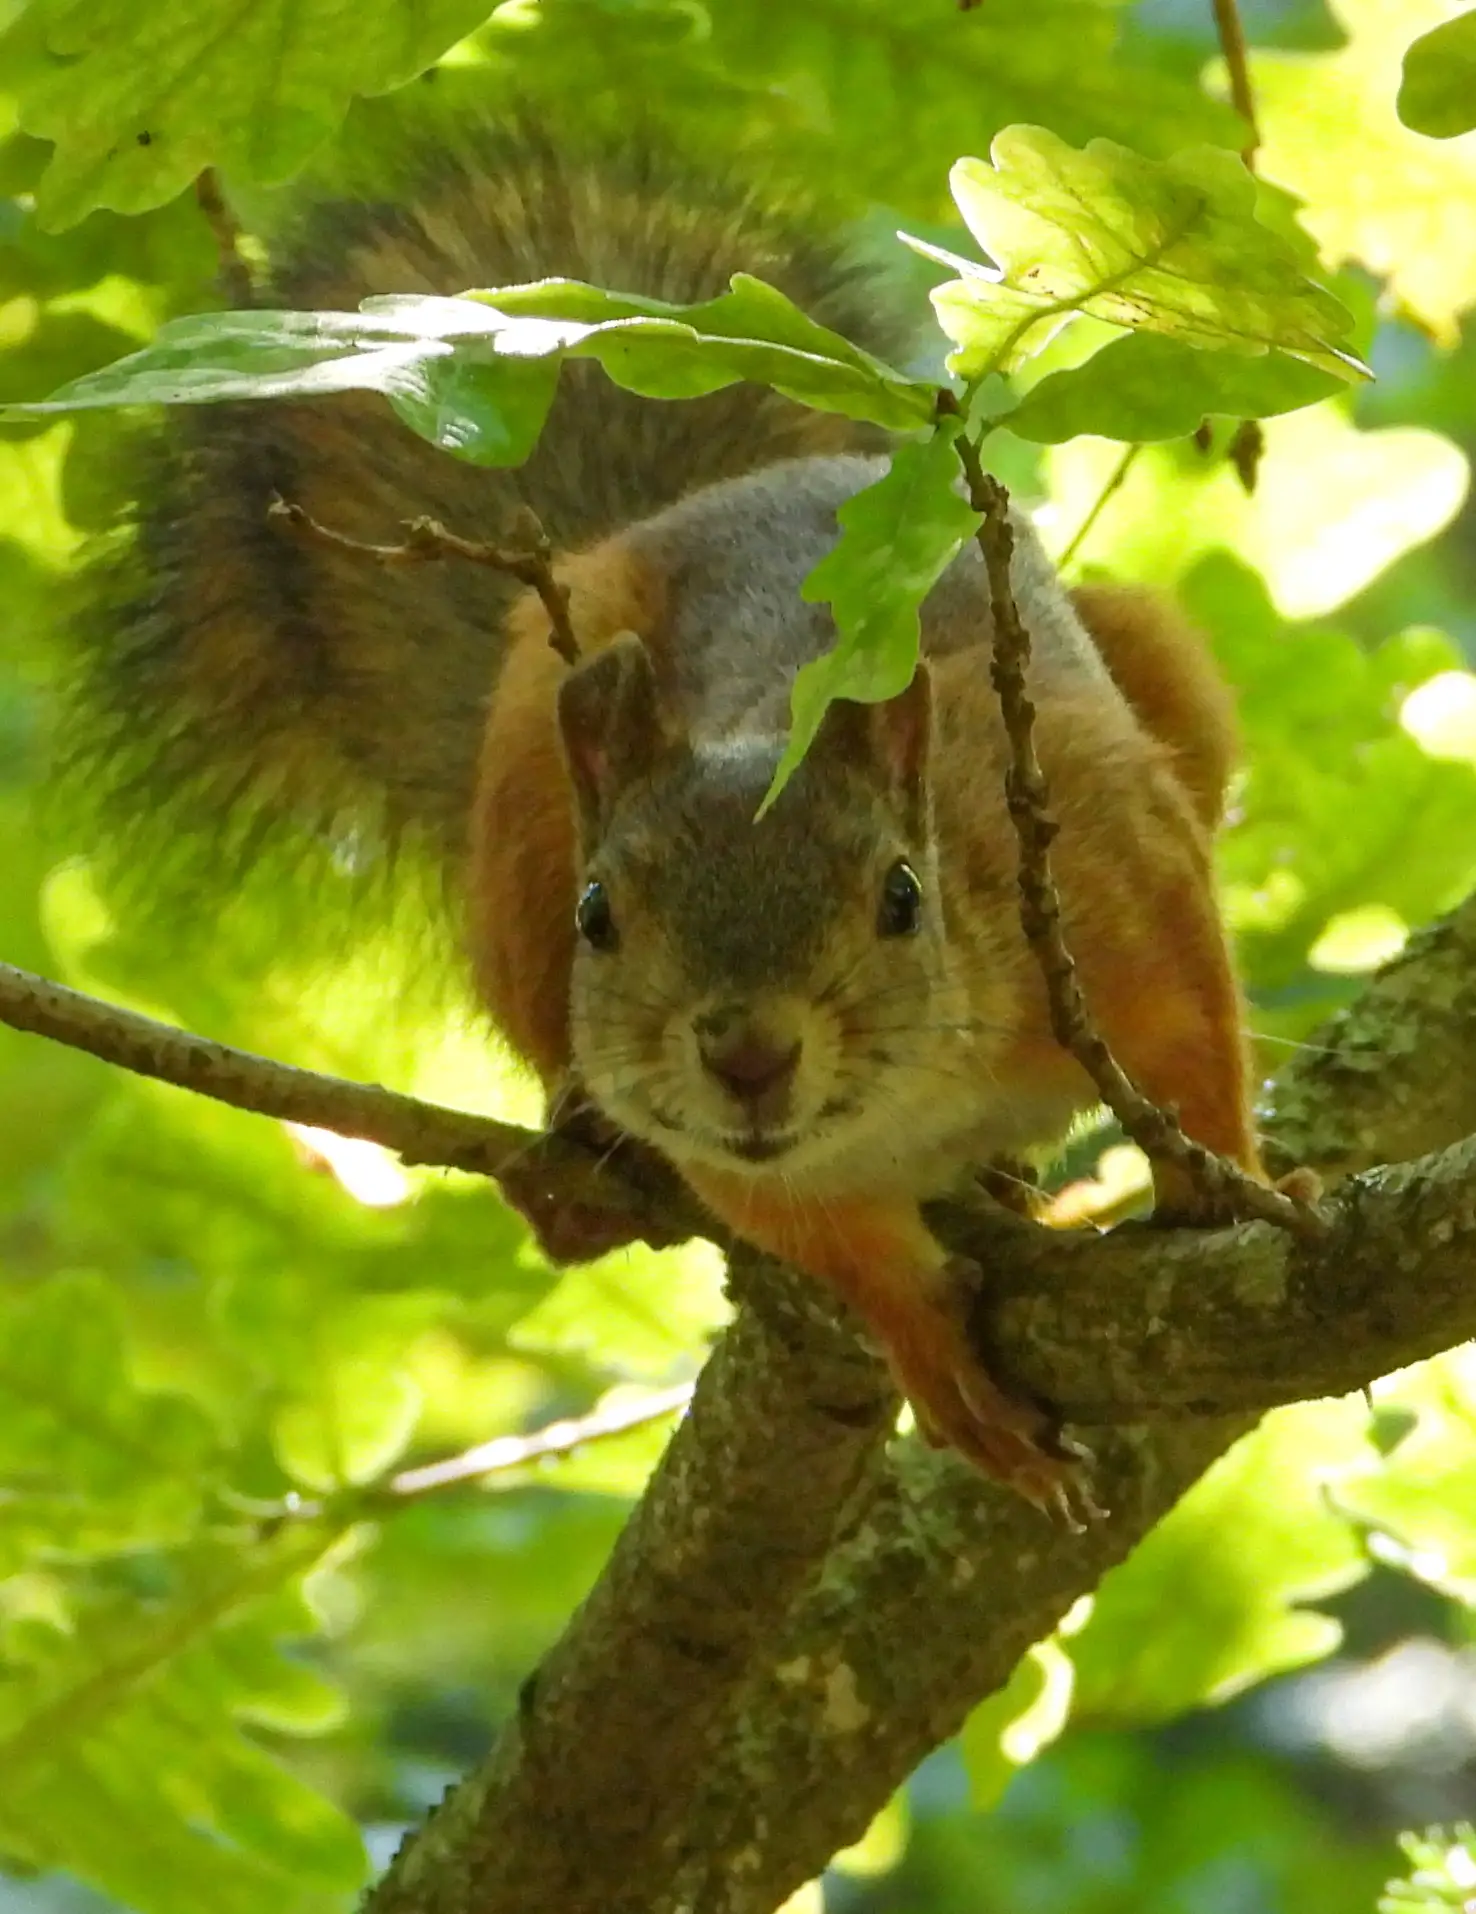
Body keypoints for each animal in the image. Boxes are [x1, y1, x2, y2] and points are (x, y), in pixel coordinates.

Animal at [70, 123, 1267, 1517]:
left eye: (899, 896)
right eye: (601, 916)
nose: (746, 1053)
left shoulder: (1113, 851)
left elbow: (1197, 1043)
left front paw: (1230, 1187)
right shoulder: (739, 1156)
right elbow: (843, 1254)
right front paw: (933, 1357)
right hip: (524, 790)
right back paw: (575, 1160)